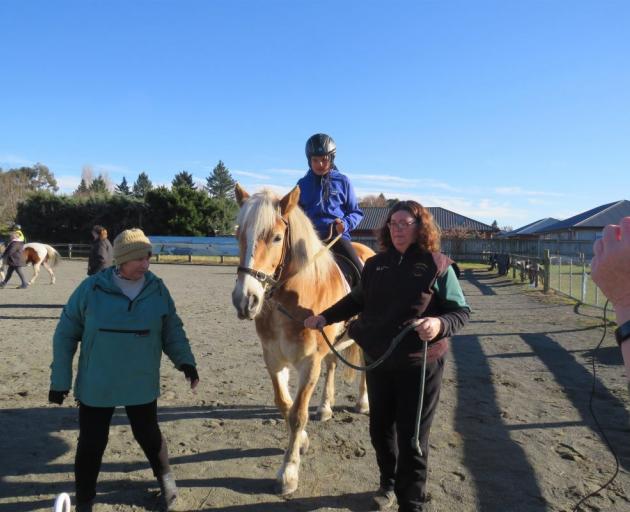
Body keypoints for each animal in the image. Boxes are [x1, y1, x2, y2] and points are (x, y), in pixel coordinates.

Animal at [235, 184, 378, 496]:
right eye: (238, 234)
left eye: (277, 238)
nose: (245, 300)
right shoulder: (274, 359)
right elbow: (284, 405)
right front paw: (301, 442)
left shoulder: (309, 362)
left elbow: (297, 413)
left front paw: (288, 473)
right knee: (333, 366)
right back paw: (325, 407)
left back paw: (363, 403)